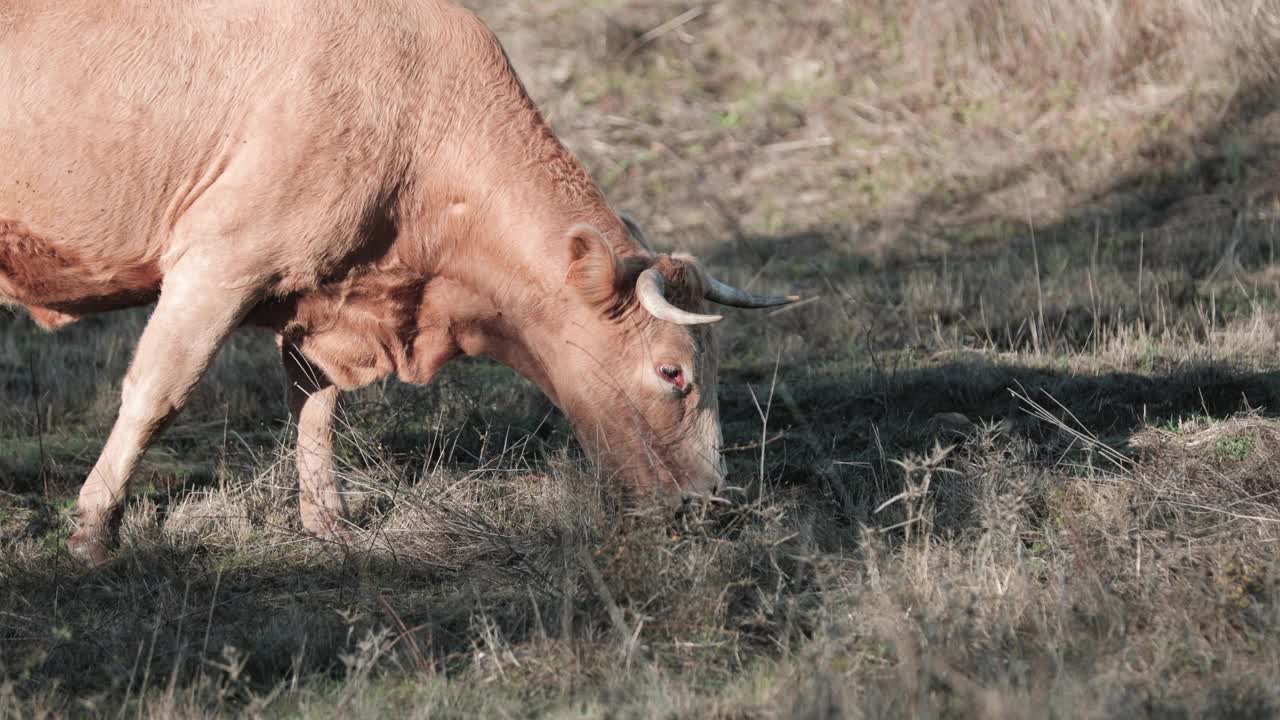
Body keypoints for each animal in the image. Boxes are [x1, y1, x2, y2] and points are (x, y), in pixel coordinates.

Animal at [2, 0, 798, 563]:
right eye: (672, 373)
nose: (709, 503)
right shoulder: (219, 261)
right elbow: (158, 393)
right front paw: (94, 530)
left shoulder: (314, 296)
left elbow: (315, 408)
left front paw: (328, 526)